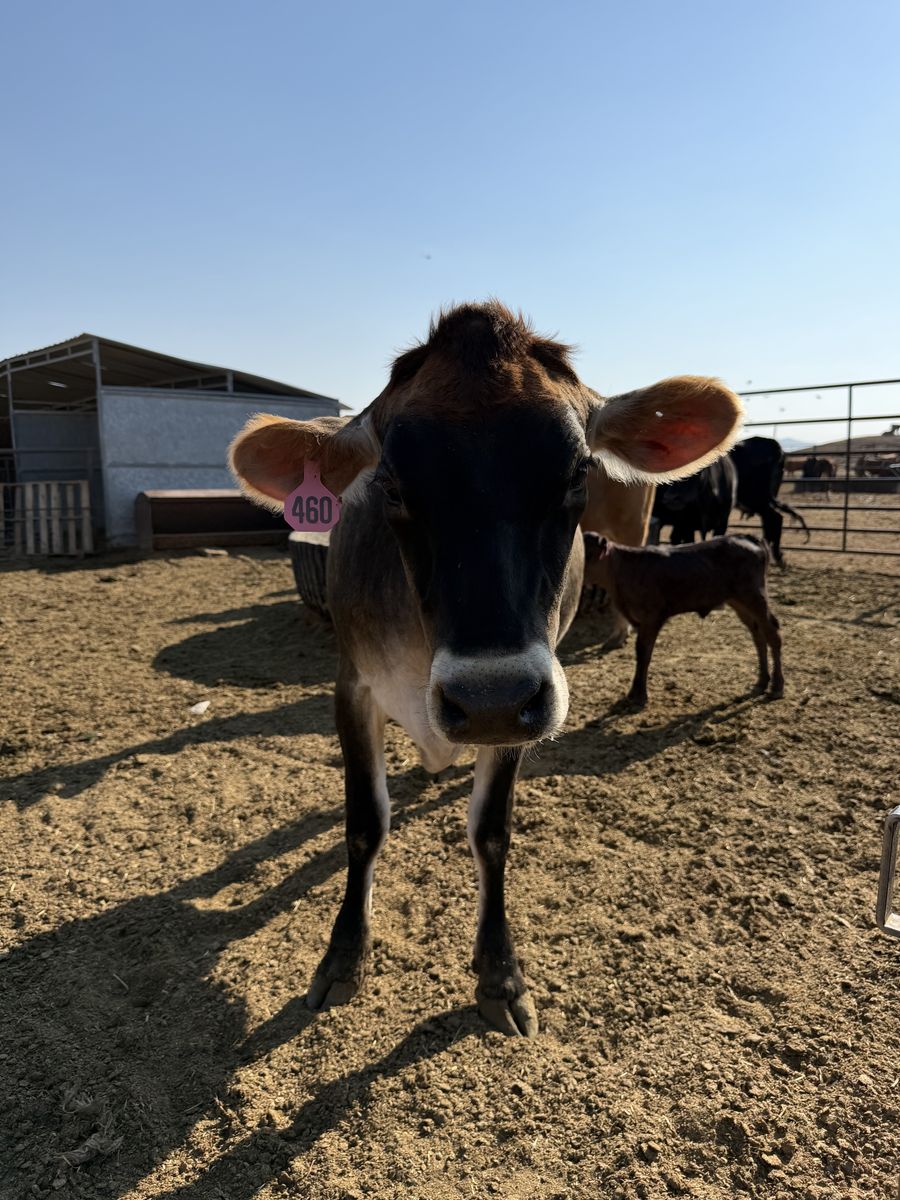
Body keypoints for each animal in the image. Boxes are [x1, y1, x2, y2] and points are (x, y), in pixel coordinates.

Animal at [229, 302, 743, 1037]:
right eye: (391, 485)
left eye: (579, 475)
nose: (485, 698)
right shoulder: (353, 686)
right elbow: (364, 823)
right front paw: (344, 957)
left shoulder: (523, 705)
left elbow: (491, 833)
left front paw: (500, 976)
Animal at [583, 532, 784, 708]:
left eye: (585, 553)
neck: (621, 570)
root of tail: (746, 536)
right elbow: (641, 654)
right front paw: (633, 693)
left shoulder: (652, 618)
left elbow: (644, 654)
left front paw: (639, 695)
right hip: (739, 601)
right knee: (758, 635)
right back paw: (762, 682)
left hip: (754, 597)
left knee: (772, 633)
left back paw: (776, 686)